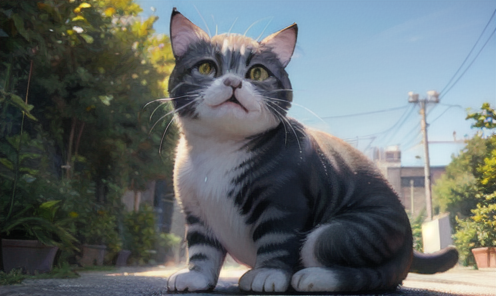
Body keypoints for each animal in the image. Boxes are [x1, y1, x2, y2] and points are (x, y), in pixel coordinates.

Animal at [165, 8, 460, 292]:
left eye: (257, 73)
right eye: (206, 67)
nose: (233, 82)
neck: (220, 146)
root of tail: (409, 248)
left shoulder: (283, 203)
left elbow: (276, 242)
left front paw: (268, 273)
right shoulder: (196, 213)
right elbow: (202, 250)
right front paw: (196, 277)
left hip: (347, 231)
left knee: (373, 274)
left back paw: (315, 278)